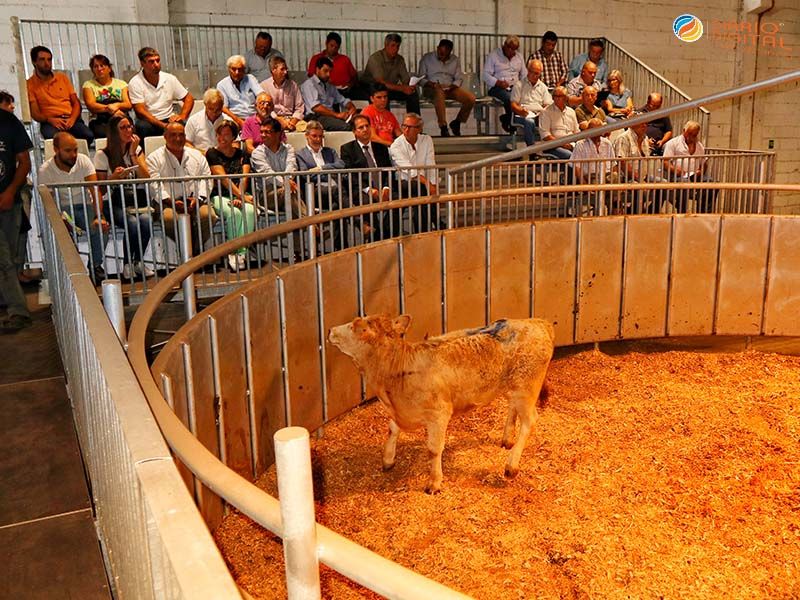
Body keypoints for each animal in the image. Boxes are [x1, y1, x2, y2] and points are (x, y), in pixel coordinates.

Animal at [328, 314, 552, 492]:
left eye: (357, 327)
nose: (330, 330)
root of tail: (538, 322)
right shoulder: (399, 410)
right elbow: (392, 429)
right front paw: (388, 459)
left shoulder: (439, 414)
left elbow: (434, 449)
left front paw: (434, 483)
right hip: (514, 387)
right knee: (513, 409)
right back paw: (506, 440)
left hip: (527, 387)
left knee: (530, 420)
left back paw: (511, 466)